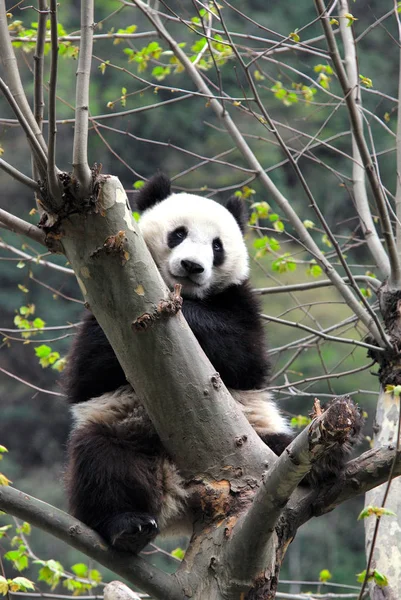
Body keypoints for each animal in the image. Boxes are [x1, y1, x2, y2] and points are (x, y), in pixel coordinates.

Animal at [63, 173, 362, 552]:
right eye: (178, 233)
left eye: (217, 246)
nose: (192, 266)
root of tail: (181, 497)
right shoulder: (103, 310)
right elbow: (87, 375)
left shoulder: (240, 301)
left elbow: (244, 357)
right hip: (124, 428)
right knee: (103, 459)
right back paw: (127, 525)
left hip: (260, 440)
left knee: (285, 447)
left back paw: (328, 458)